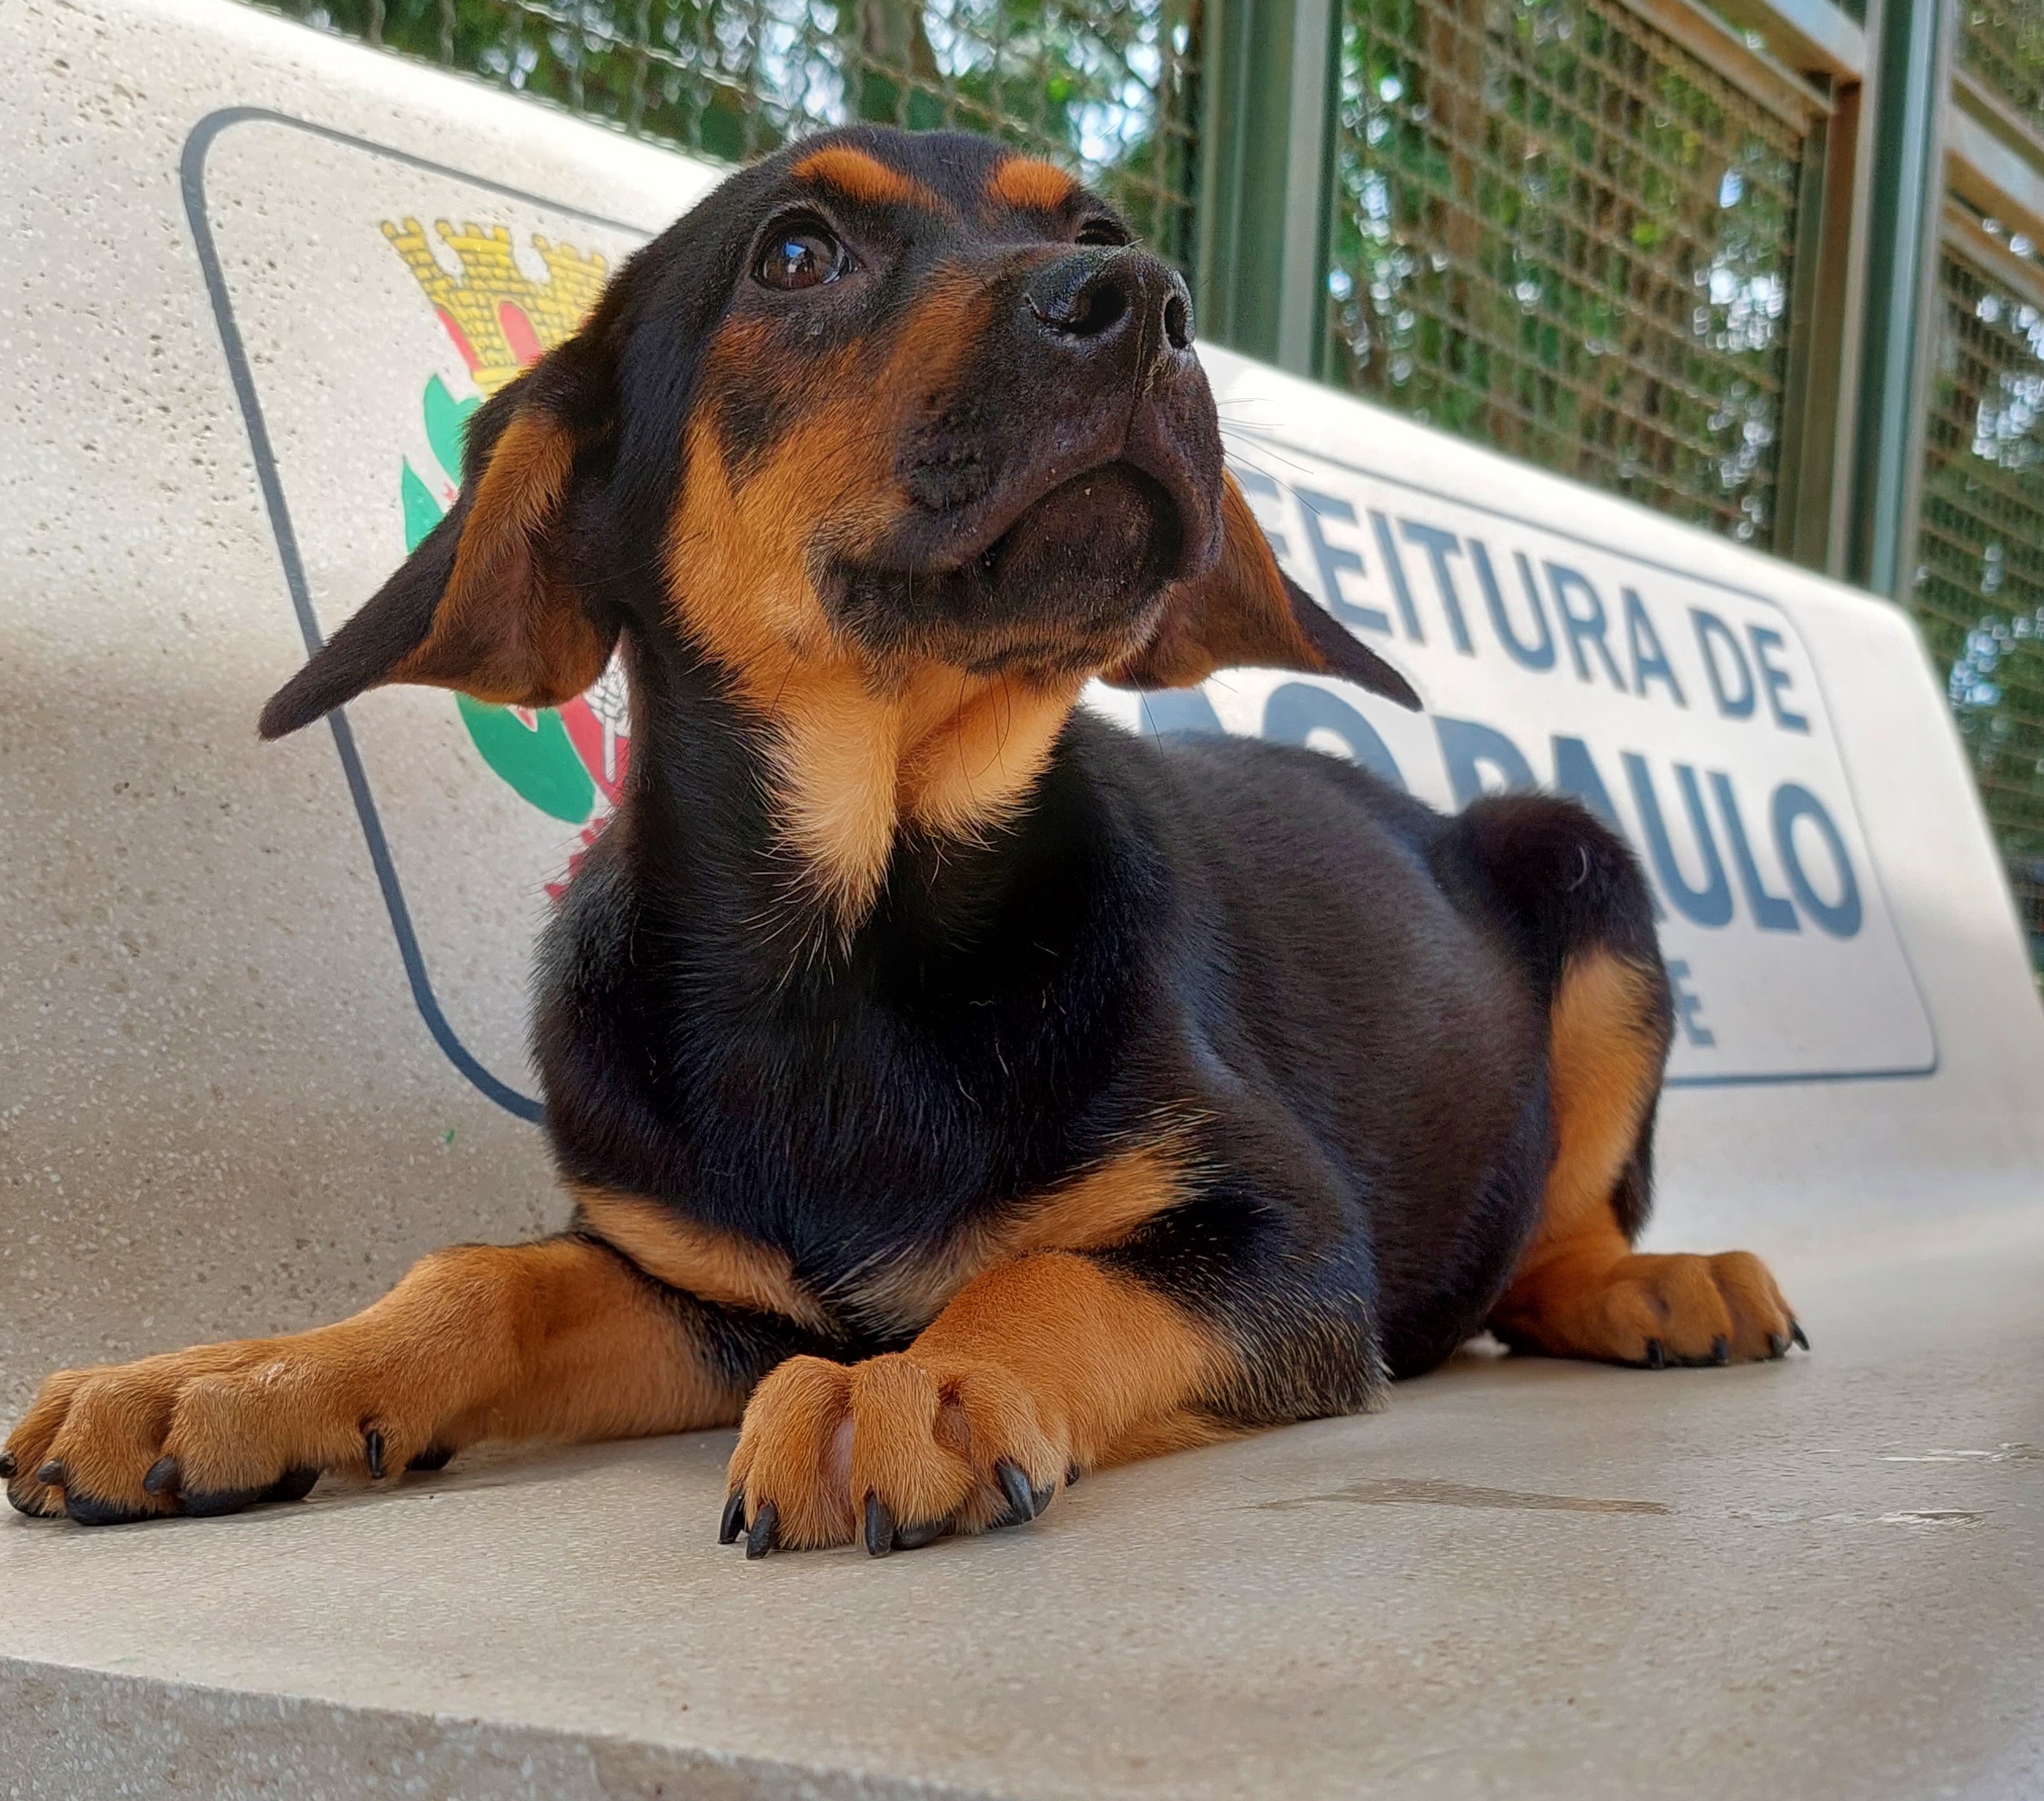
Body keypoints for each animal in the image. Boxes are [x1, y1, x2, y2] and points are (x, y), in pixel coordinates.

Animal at [0, 127, 1798, 1553]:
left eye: (1093, 225)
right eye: (796, 253)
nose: (1147, 304)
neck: (852, 938)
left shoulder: (1287, 1242)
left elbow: (1058, 1276)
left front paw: (918, 1380)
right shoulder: (699, 1282)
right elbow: (478, 1276)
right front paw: (227, 1378)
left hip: (1580, 866)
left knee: (1555, 1231)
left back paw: (1660, 1284)